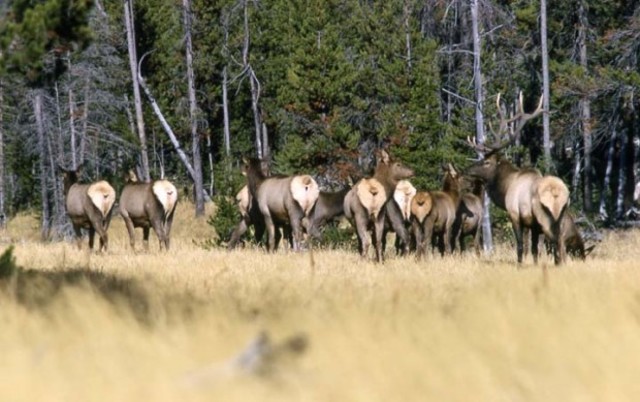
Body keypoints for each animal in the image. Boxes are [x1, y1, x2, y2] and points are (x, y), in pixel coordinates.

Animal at [466, 92, 570, 265]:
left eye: (487, 162)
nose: (467, 170)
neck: (506, 187)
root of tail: (557, 191)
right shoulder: (532, 225)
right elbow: (534, 249)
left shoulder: (515, 214)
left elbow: (521, 246)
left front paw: (520, 265)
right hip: (562, 215)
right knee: (561, 241)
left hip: (545, 217)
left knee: (556, 241)